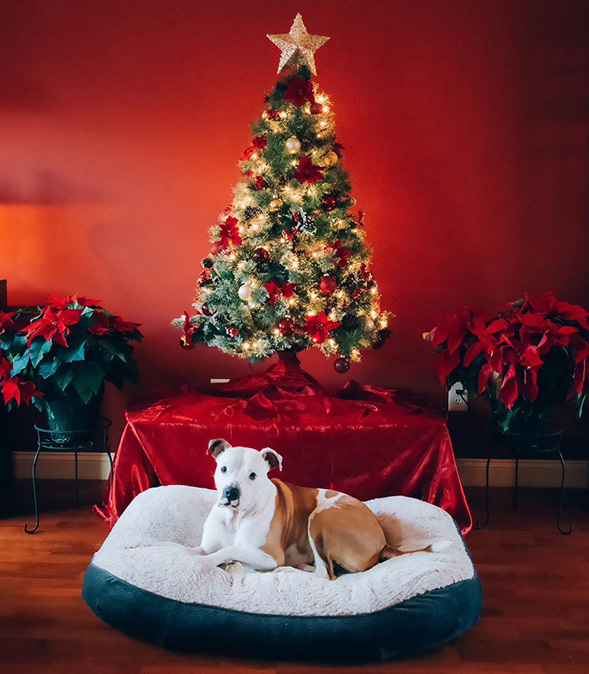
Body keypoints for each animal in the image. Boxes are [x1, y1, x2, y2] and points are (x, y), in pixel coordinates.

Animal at [196, 440, 446, 576]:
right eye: (223, 468)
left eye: (253, 475)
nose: (231, 492)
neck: (234, 518)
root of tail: (383, 540)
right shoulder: (206, 546)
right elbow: (207, 551)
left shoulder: (270, 556)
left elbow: (231, 550)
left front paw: (212, 563)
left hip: (319, 517)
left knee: (325, 574)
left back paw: (289, 570)